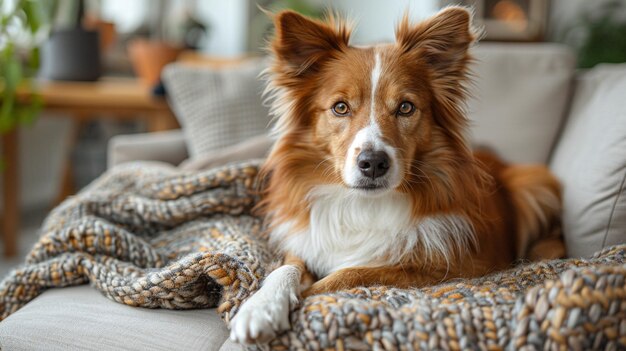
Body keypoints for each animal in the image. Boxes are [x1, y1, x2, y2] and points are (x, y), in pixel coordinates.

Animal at [227, 6, 560, 346]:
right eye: (340, 107)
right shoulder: (306, 243)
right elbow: (284, 270)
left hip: (534, 182)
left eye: (405, 107)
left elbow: (349, 274)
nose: (373, 163)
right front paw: (260, 308)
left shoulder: (454, 264)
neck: (361, 206)